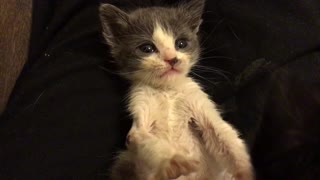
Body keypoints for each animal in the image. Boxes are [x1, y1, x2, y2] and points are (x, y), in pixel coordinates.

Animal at [100, 0, 255, 179]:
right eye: (147, 48)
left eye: (181, 44)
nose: (171, 59)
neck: (167, 91)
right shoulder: (138, 113)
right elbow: (144, 140)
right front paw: (173, 161)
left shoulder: (199, 101)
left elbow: (225, 136)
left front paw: (245, 170)